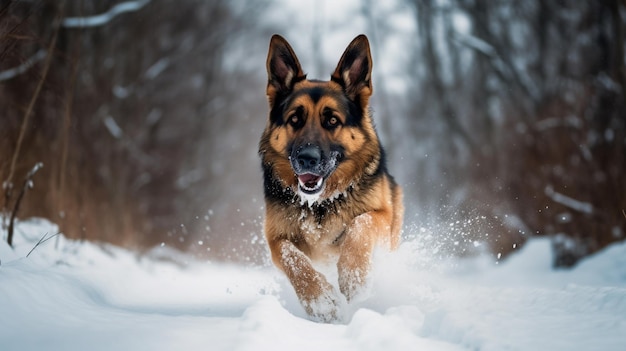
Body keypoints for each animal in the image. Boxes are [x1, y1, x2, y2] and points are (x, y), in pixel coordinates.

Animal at [260, 34, 402, 324]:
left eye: (332, 121)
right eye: (295, 119)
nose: (307, 158)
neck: (320, 204)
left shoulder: (382, 216)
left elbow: (360, 224)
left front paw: (354, 278)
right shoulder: (275, 237)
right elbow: (293, 258)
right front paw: (321, 300)